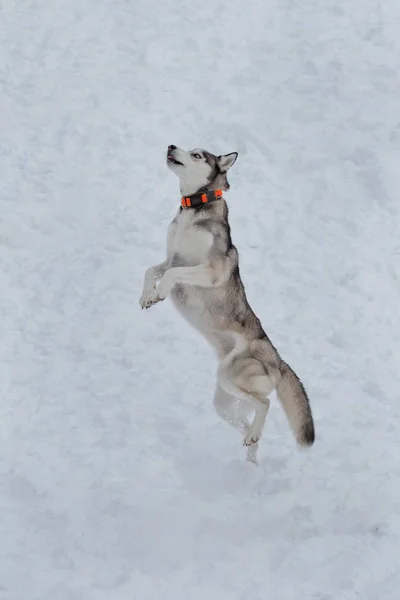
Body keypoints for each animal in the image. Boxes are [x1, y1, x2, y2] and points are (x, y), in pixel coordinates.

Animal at [139, 145, 314, 464]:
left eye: (197, 155)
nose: (171, 146)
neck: (193, 209)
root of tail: (280, 362)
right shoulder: (171, 258)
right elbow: (152, 270)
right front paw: (147, 296)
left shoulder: (209, 270)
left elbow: (172, 275)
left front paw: (160, 293)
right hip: (224, 399)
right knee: (249, 420)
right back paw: (251, 448)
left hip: (232, 376)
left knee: (265, 403)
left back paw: (253, 441)